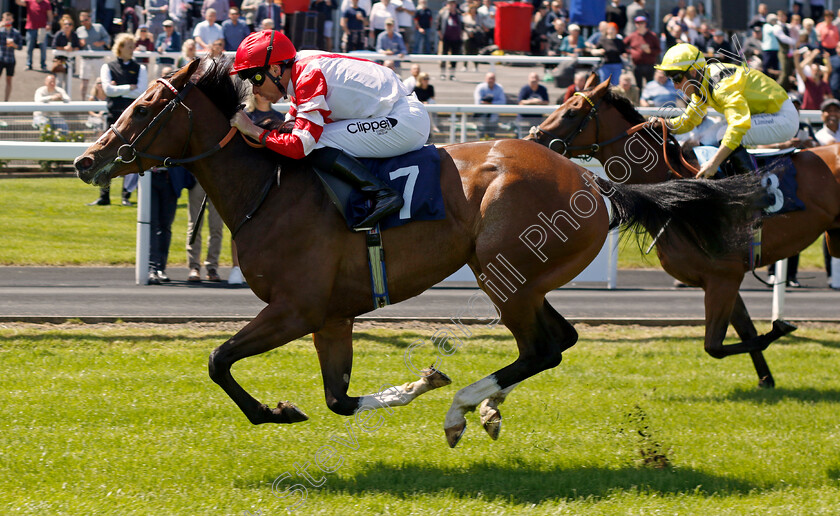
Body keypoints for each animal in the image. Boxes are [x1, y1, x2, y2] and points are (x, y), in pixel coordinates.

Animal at [74, 57, 768, 448]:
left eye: (145, 105)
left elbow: (219, 360)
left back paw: (463, 412)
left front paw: (277, 412)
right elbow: (336, 398)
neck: (267, 189)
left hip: (503, 274)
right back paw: (484, 408)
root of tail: (593, 183)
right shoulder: (331, 315)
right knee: (558, 342)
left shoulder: (295, 309)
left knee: (541, 348)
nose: (87, 161)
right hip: (525, 279)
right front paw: (416, 383)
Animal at [532, 77, 840, 388]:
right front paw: (766, 378)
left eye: (571, 112)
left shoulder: (724, 278)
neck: (678, 195)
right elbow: (743, 333)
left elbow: (714, 346)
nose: (535, 139)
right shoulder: (723, 278)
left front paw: (780, 328)